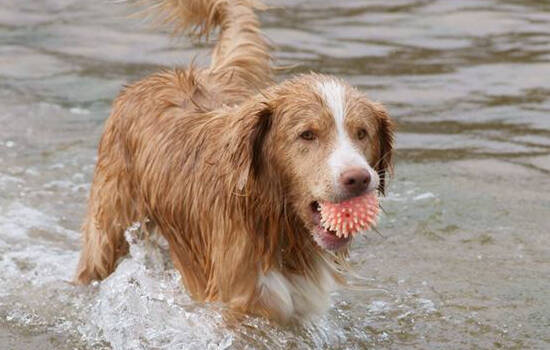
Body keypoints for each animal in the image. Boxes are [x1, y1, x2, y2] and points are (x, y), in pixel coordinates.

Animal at [76, 0, 396, 322]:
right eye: (307, 134)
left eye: (362, 133)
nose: (358, 178)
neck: (275, 224)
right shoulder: (240, 304)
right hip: (108, 231)